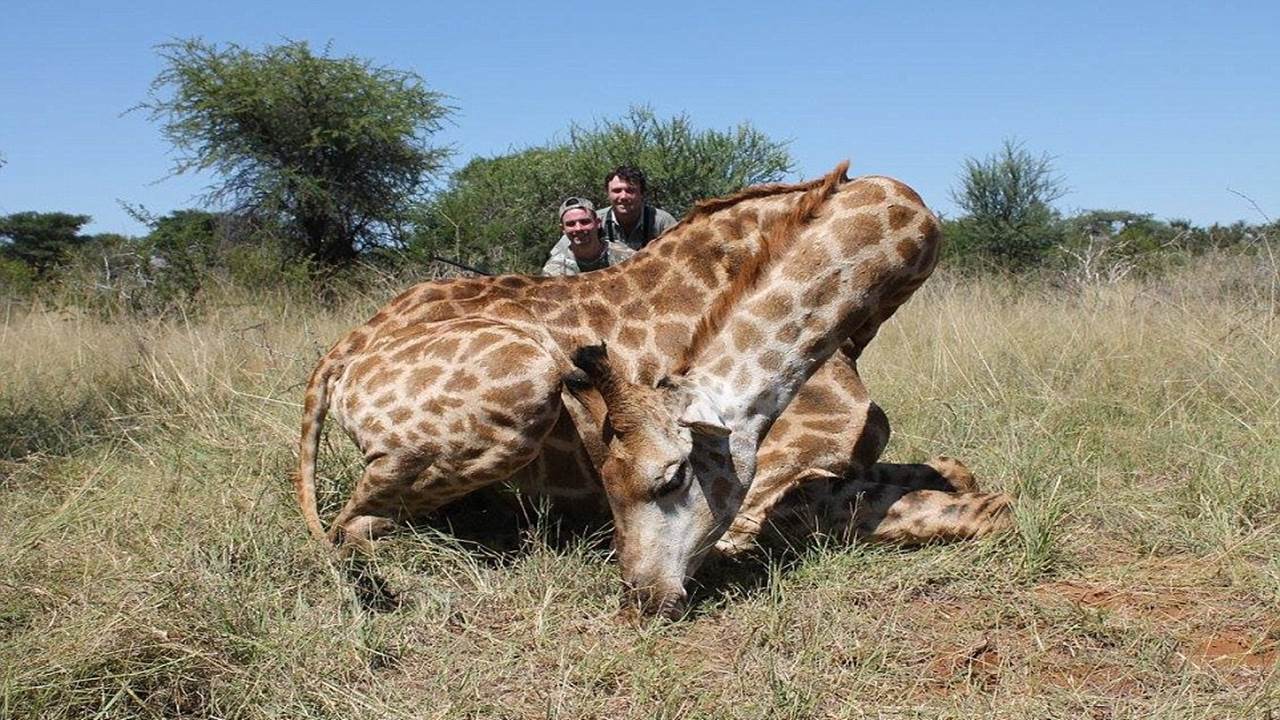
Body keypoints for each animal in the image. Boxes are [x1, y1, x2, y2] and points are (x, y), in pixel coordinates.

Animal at [294, 163, 1009, 563]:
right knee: (352, 526)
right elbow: (985, 508)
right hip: (526, 379)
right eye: (666, 481)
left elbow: (958, 472)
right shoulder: (779, 497)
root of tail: (339, 358)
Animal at [568, 168, 1013, 616]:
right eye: (609, 487)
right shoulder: (765, 507)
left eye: (673, 478)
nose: (642, 601)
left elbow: (963, 475)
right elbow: (995, 505)